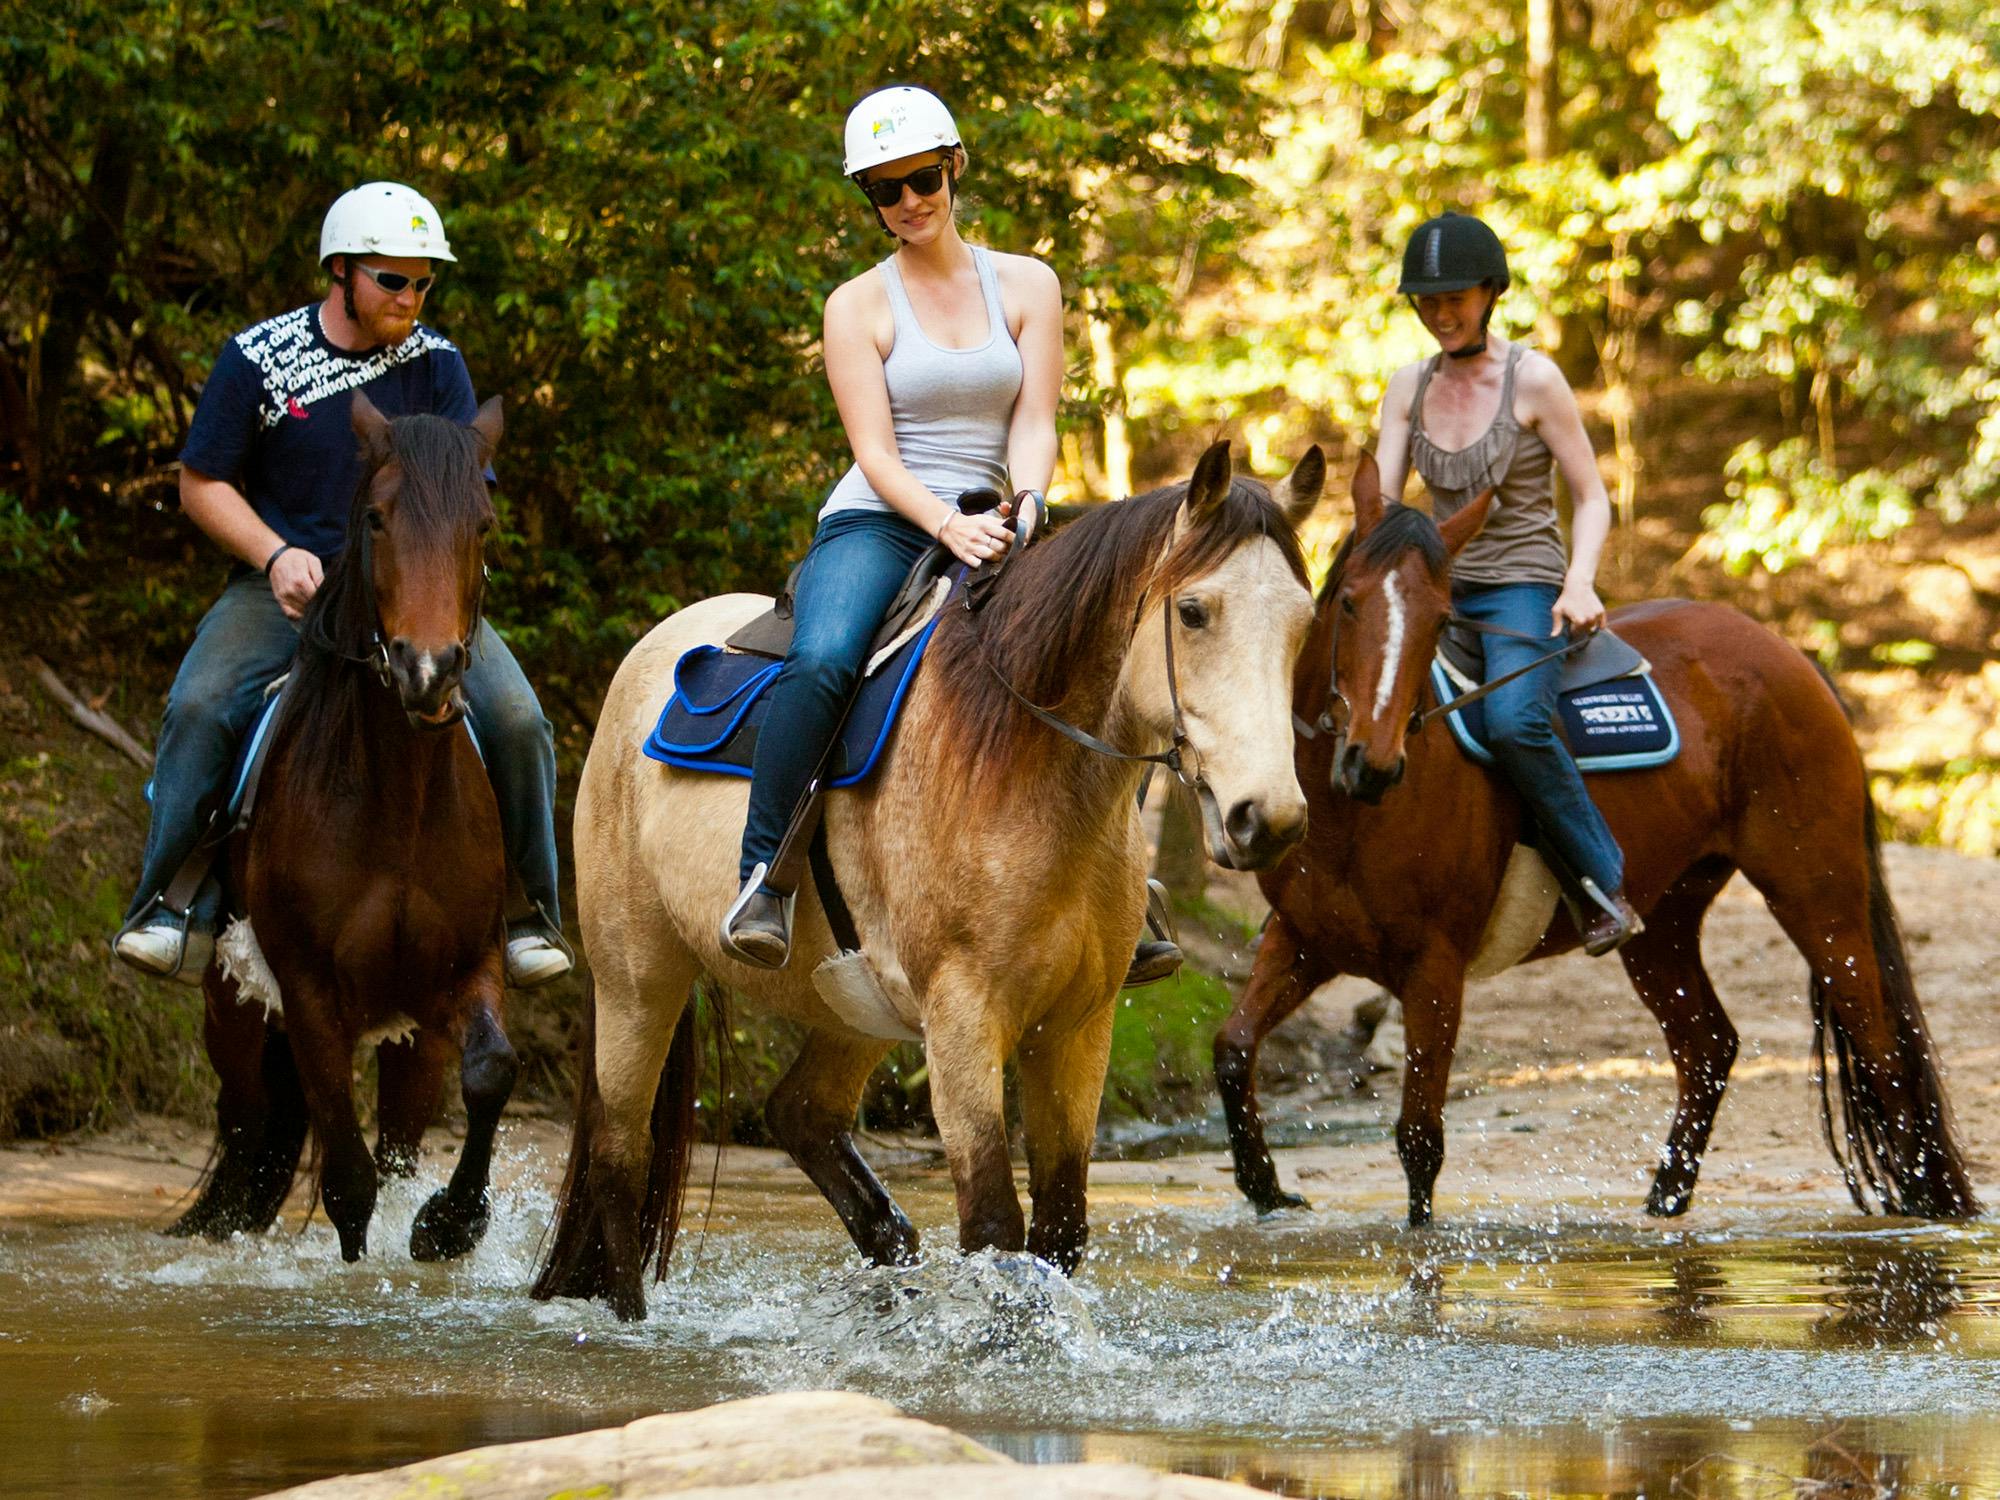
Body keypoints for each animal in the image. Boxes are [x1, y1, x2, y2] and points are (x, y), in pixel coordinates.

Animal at [168, 393, 517, 1263]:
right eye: (377, 519)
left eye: (484, 523)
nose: (426, 670)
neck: (397, 800)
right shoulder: (308, 994)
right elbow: (349, 1186)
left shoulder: (462, 974)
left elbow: (491, 1074)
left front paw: (449, 1225)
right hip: (234, 1008)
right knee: (248, 1124)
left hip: (406, 1038)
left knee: (389, 1141)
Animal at [532, 441, 1324, 1320]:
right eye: (1192, 612)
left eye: (1303, 623)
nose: (1268, 818)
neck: (1024, 765)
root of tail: (644, 662)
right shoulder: (963, 1018)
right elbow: (995, 1227)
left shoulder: (1076, 1027)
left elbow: (1059, 1230)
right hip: (638, 981)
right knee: (619, 1159)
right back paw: (630, 1319)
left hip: (851, 1005)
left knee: (800, 1115)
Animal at [1213, 455, 1977, 1227]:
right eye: (1348, 603)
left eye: (1439, 620)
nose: (1372, 763)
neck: (1353, 817)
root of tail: (1791, 657)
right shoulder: (1303, 939)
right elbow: (1233, 1048)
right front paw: (1265, 1186)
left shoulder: (1435, 968)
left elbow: (1419, 1140)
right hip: (1663, 922)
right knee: (1709, 1046)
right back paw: (1664, 1201)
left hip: (1818, 895)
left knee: (1880, 1049)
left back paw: (1920, 1206)